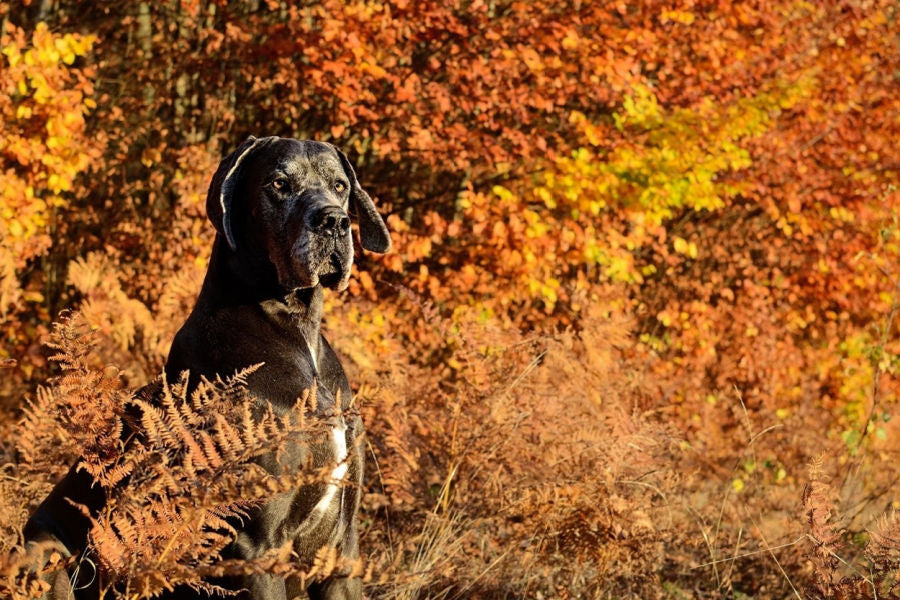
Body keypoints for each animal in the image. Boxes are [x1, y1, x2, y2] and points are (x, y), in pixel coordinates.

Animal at [23, 137, 390, 600]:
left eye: (340, 185)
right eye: (279, 183)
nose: (335, 222)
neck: (294, 326)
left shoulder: (341, 550)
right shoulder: (255, 547)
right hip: (43, 550)